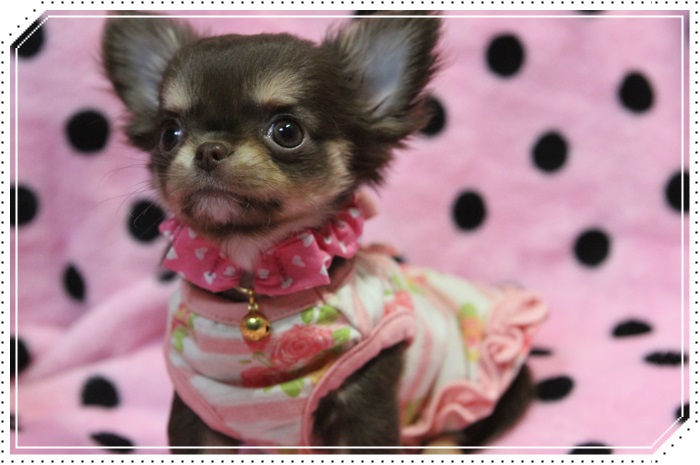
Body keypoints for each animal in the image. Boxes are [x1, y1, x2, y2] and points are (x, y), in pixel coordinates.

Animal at [102, 11, 548, 453]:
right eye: (169, 134)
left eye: (286, 131)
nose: (210, 149)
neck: (256, 282)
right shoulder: (197, 411)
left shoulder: (365, 398)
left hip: (499, 384)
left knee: (462, 429)